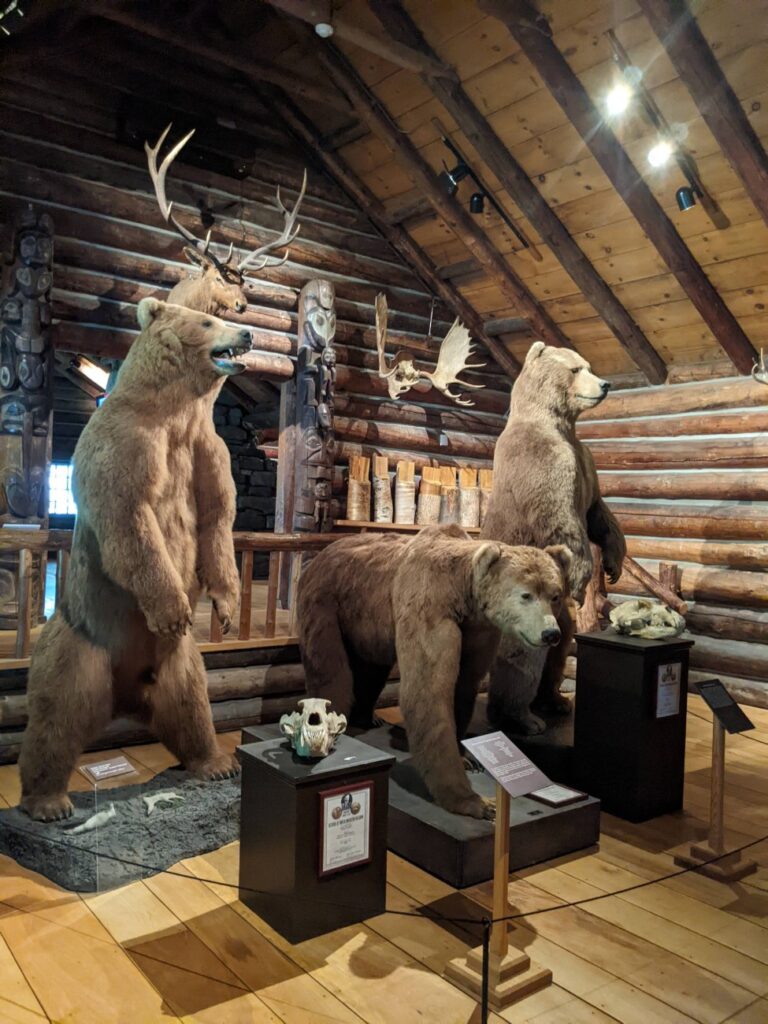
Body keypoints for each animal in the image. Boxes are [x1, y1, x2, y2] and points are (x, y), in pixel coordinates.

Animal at [18, 299, 252, 823]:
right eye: (207, 321)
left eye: (224, 320)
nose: (247, 334)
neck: (178, 413)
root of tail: (123, 700)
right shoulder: (126, 441)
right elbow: (130, 519)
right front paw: (173, 610)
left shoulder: (208, 449)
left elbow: (217, 521)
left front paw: (226, 610)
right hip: (79, 646)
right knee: (54, 718)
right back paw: (48, 803)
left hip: (179, 666)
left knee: (192, 708)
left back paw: (217, 763)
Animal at [296, 524, 573, 819]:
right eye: (526, 595)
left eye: (555, 595)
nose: (550, 633)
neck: (462, 594)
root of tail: (322, 552)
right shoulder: (429, 607)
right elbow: (428, 690)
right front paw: (476, 801)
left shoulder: (477, 630)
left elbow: (464, 686)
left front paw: (468, 758)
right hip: (327, 603)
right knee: (330, 669)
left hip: (367, 622)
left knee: (371, 670)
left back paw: (368, 718)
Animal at [487, 344, 626, 737]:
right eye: (577, 368)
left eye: (590, 366)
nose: (605, 384)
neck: (558, 423)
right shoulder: (544, 461)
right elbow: (564, 522)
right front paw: (582, 579)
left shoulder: (584, 461)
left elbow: (598, 513)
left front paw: (614, 564)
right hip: (522, 612)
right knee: (522, 657)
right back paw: (521, 716)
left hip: (556, 613)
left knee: (562, 644)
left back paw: (556, 701)